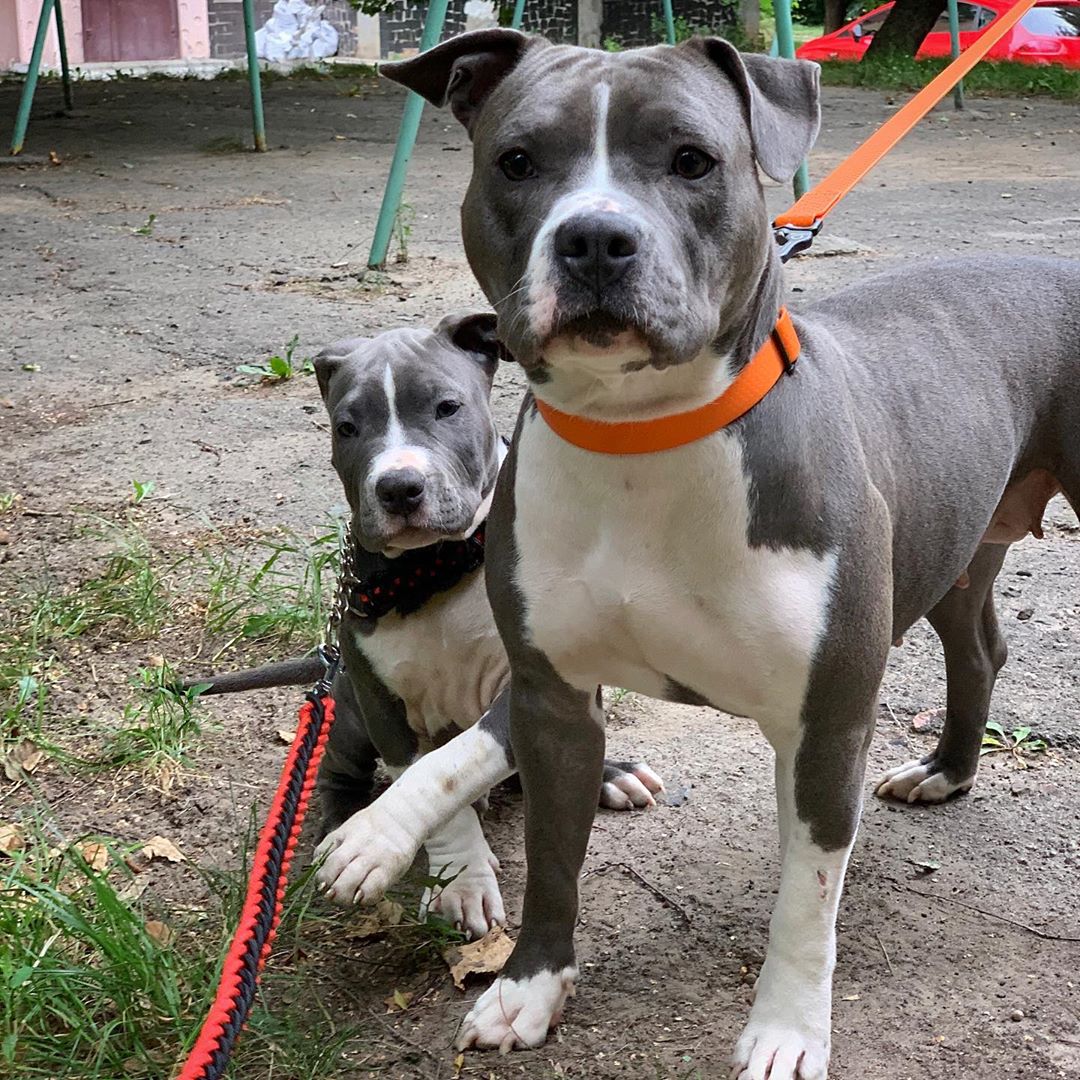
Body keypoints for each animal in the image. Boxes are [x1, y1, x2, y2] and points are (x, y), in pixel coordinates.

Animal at [195, 311, 665, 937]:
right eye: (347, 428)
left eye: (447, 407)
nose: (398, 487)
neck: (434, 567)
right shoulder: (381, 704)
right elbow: (427, 778)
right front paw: (450, 876)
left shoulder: (526, 683)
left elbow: (454, 763)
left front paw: (389, 842)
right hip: (345, 707)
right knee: (338, 773)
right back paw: (339, 822)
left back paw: (611, 773)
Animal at [378, 29, 1080, 1075]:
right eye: (517, 161)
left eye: (692, 160)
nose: (595, 239)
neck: (641, 436)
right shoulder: (553, 700)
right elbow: (552, 860)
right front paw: (529, 989)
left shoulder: (827, 719)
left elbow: (805, 902)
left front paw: (786, 1031)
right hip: (960, 537)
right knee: (979, 648)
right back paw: (946, 771)